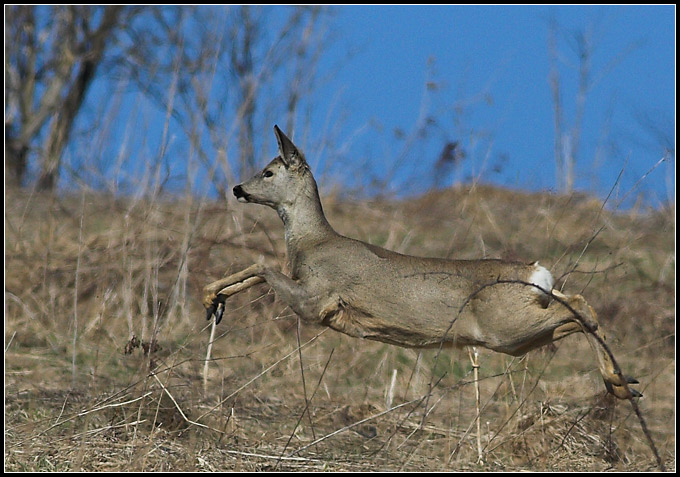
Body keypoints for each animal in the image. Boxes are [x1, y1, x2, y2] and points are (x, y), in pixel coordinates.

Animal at [205, 125, 640, 398]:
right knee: (575, 308)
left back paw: (617, 382)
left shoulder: (317, 300)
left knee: (582, 308)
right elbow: (257, 273)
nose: (237, 188)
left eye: (268, 171)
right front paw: (213, 301)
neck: (312, 242)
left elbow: (261, 265)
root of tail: (536, 272)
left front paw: (211, 295)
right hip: (522, 333)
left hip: (506, 328)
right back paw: (619, 384)